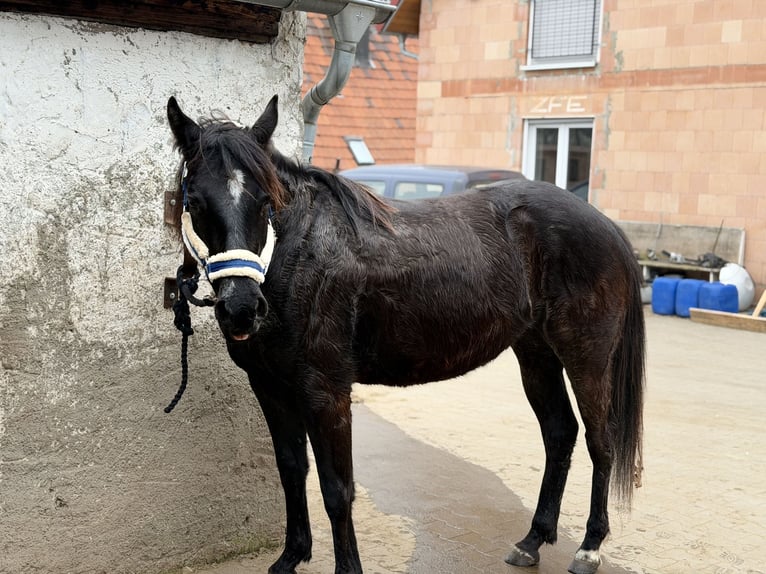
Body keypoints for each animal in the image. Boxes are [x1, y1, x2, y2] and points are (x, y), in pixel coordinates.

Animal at [165, 95, 645, 574]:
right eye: (196, 201)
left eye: (266, 200)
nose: (242, 309)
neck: (301, 255)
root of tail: (607, 225)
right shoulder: (270, 387)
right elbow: (291, 470)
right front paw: (291, 557)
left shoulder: (326, 393)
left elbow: (337, 490)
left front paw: (346, 569)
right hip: (536, 354)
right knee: (560, 434)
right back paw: (532, 540)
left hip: (587, 358)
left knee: (600, 441)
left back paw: (589, 547)